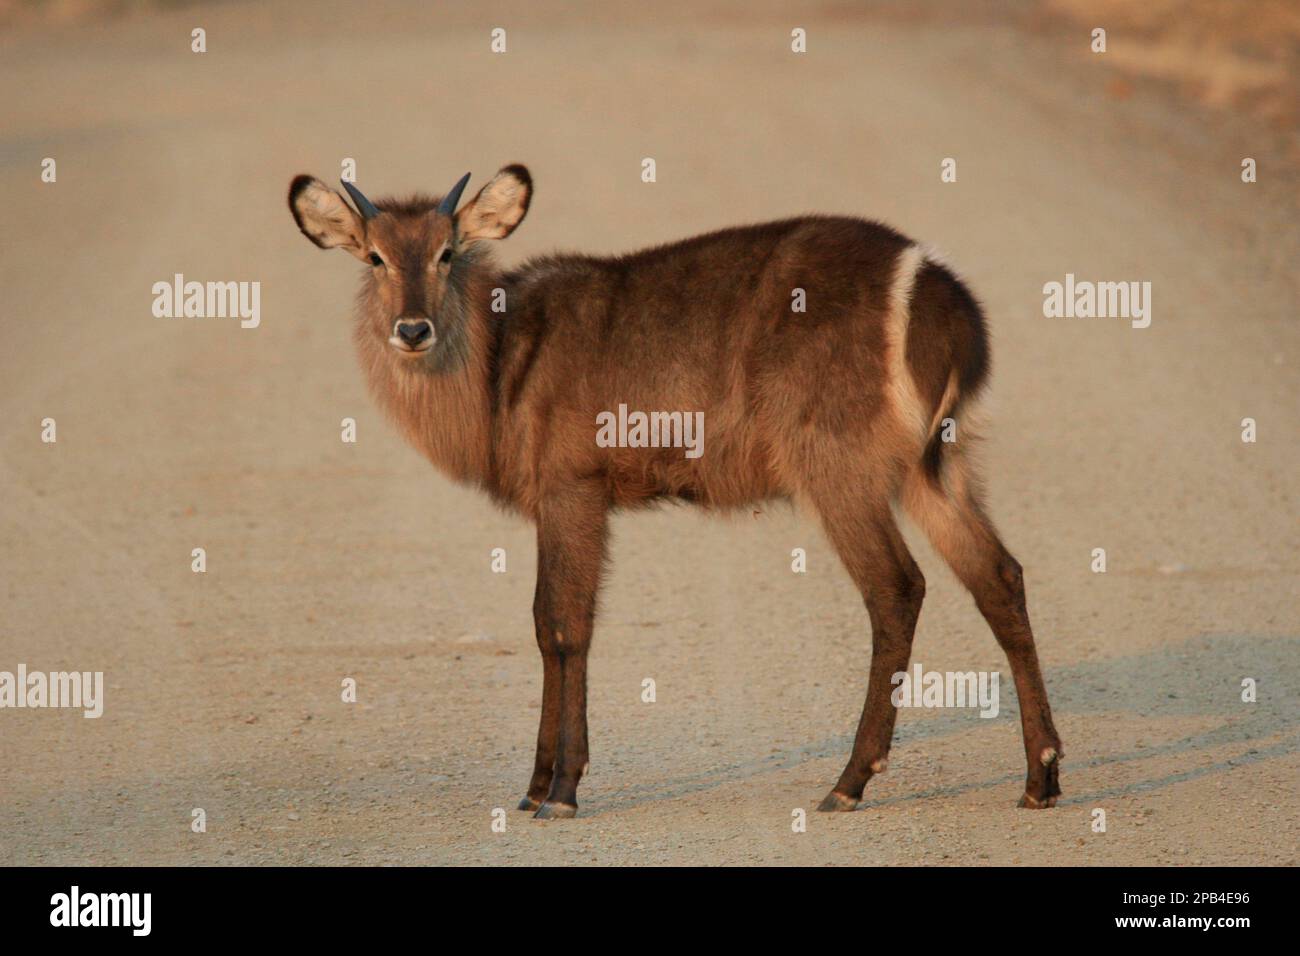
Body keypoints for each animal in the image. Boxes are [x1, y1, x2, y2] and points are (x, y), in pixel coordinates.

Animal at [287, 165, 1062, 818]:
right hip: (935, 464)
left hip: (840, 466)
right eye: (375, 256)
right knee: (999, 575)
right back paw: (1041, 777)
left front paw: (561, 792)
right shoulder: (554, 501)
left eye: (447, 252)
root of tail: (946, 300)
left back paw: (848, 783)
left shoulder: (574, 488)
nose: (412, 328)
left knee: (897, 588)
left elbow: (565, 627)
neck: (502, 363)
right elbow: (542, 626)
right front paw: (532, 787)